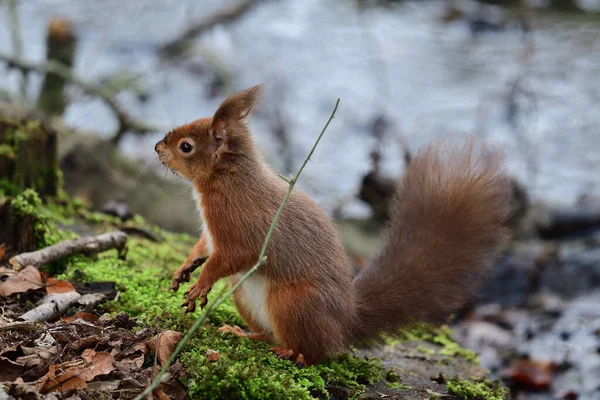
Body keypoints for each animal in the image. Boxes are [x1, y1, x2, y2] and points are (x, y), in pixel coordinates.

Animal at [155, 84, 510, 366]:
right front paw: (185, 269)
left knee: (314, 351)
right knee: (271, 334)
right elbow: (203, 247)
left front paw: (200, 283)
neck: (226, 181)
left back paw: (292, 353)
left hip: (292, 302)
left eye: (186, 146)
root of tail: (343, 325)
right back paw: (244, 334)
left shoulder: (242, 229)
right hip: (245, 294)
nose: (157, 148)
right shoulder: (211, 233)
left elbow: (230, 258)